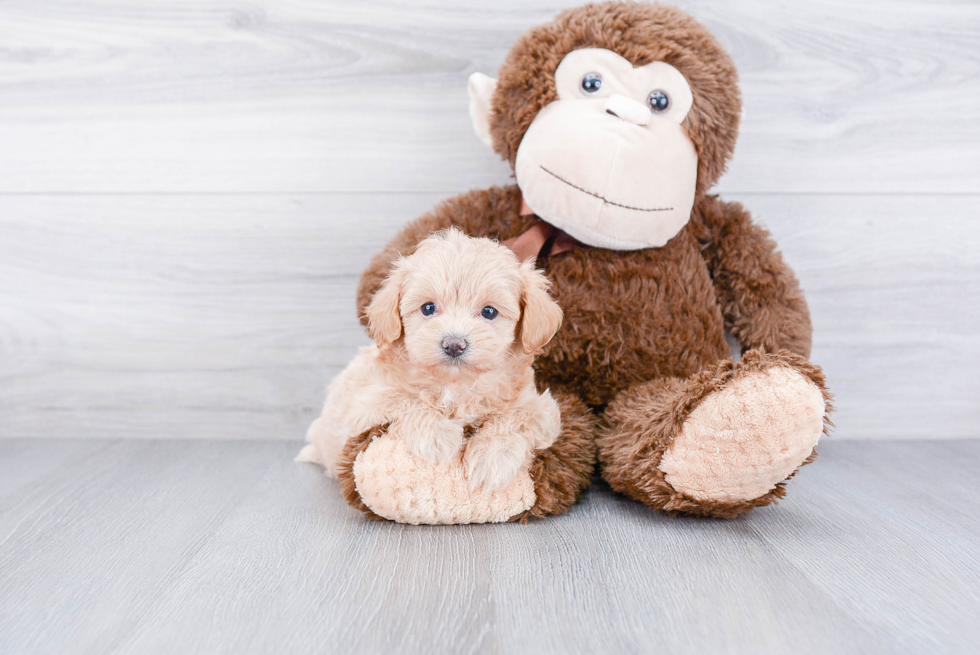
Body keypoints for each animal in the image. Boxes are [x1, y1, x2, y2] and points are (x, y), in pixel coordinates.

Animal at [294, 228, 564, 490]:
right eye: (428, 308)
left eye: (489, 312)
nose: (454, 344)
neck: (457, 385)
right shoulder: (364, 401)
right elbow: (405, 399)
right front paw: (439, 435)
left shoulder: (541, 408)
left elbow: (514, 416)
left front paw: (493, 459)